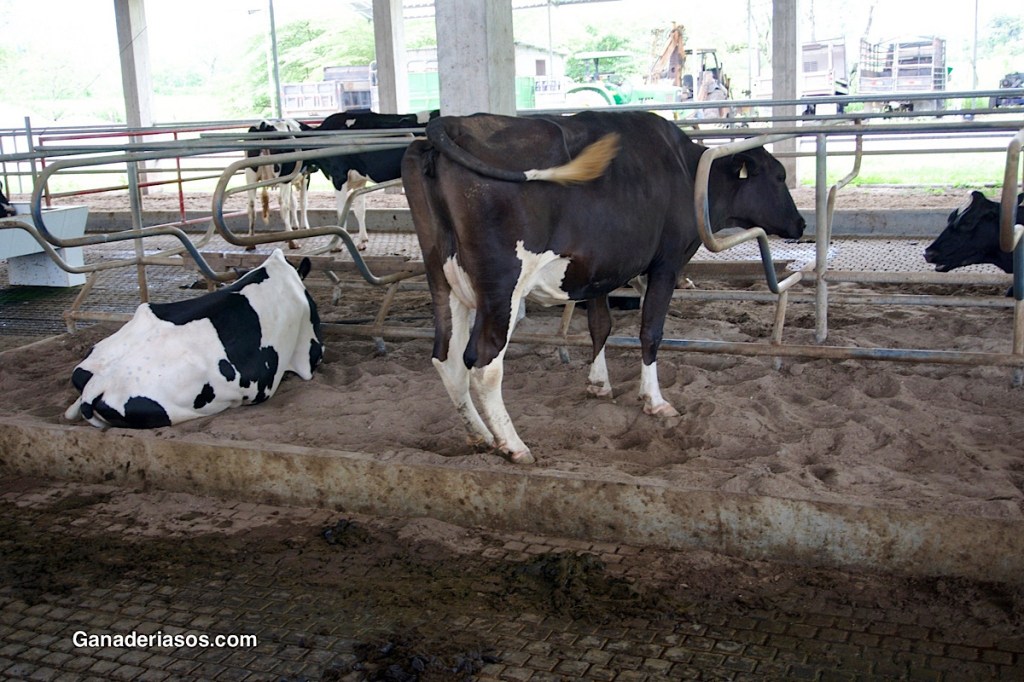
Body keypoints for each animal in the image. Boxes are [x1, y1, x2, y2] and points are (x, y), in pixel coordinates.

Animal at [245, 119, 313, 250]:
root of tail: (265, 124)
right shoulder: (305, 177)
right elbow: (303, 202)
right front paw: (305, 227)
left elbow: (294, 203)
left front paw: (295, 226)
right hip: (284, 177)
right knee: (283, 204)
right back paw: (293, 241)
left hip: (251, 176)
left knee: (251, 205)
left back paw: (250, 242)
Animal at [308, 109, 437, 250]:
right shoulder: (359, 181)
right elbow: (359, 210)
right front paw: (362, 241)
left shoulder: (338, 177)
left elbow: (341, 212)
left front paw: (337, 244)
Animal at [402, 110, 805, 464]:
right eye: (779, 176)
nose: (801, 223)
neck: (687, 169)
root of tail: (451, 125)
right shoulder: (667, 263)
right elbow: (650, 332)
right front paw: (654, 401)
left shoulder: (597, 270)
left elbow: (600, 327)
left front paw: (598, 384)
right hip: (501, 290)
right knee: (484, 363)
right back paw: (513, 446)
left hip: (442, 281)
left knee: (446, 357)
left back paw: (481, 436)